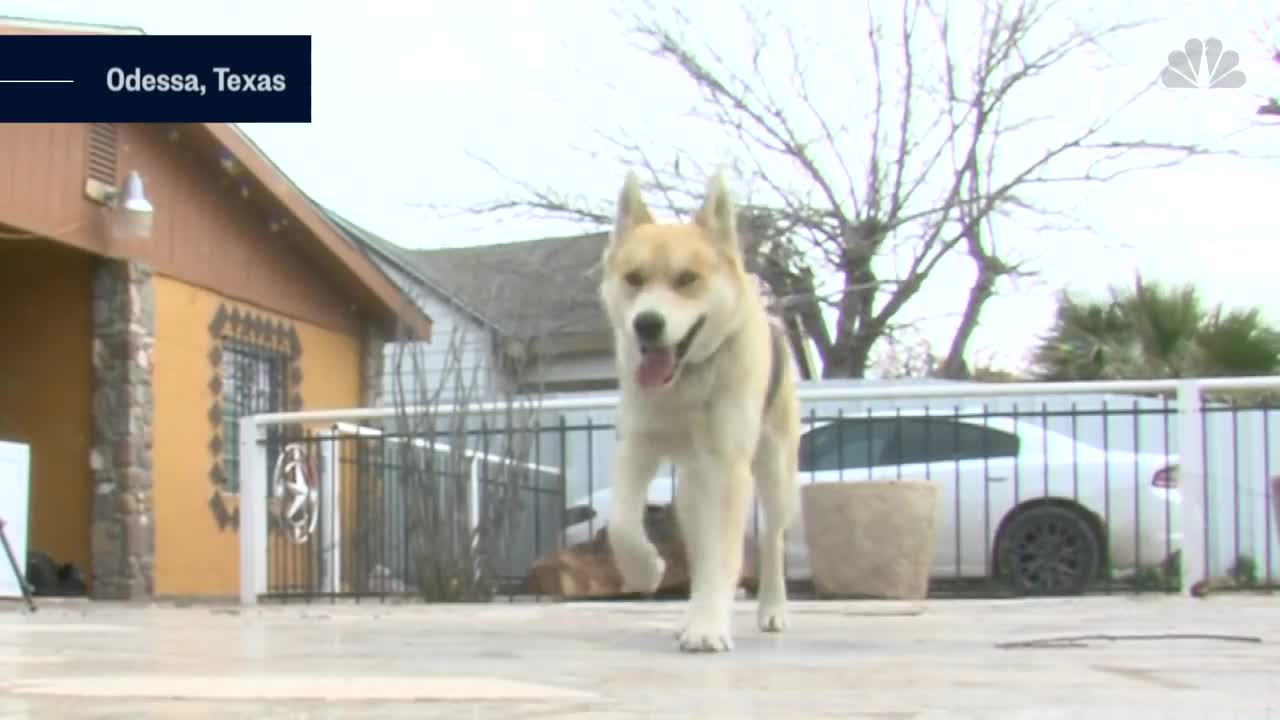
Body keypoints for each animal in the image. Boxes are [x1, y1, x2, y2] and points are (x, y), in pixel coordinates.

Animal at [599, 169, 798, 650]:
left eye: (687, 279)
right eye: (634, 278)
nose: (646, 324)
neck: (686, 382)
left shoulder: (728, 468)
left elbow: (724, 557)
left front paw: (708, 626)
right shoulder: (636, 445)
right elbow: (621, 524)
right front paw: (646, 570)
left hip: (773, 474)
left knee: (772, 542)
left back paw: (771, 609)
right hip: (691, 489)